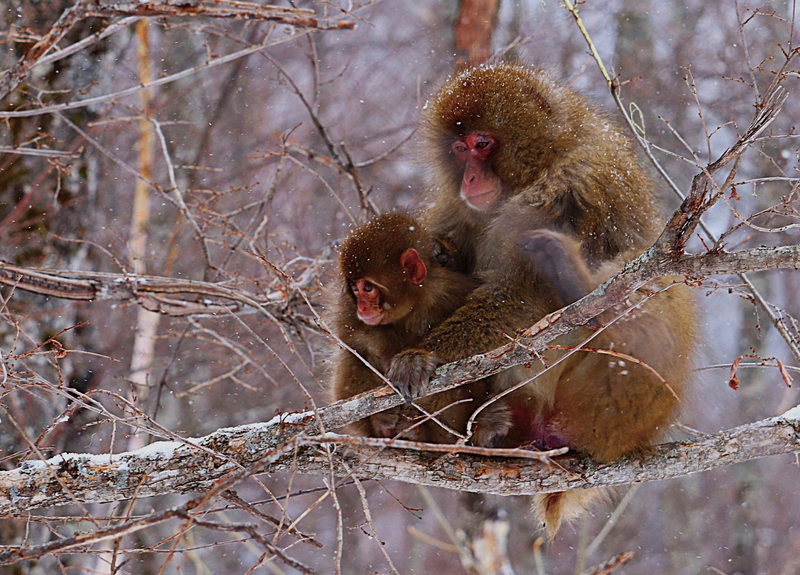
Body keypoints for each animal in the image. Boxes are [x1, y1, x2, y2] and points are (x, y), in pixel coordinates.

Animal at [328, 211, 511, 447]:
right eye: (354, 288)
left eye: (367, 287)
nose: (362, 307)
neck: (414, 306)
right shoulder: (347, 312)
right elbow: (356, 343)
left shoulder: (454, 289)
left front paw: (414, 360)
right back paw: (383, 424)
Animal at [386, 63, 696, 537]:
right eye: (459, 148)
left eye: (482, 143)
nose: (470, 178)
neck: (545, 161)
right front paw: (441, 255)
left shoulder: (575, 183)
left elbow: (522, 296)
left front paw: (422, 353)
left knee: (651, 288)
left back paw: (578, 288)